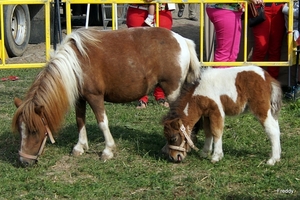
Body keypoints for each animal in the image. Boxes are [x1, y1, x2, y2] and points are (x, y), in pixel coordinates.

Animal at [11, 27, 200, 167]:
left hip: (172, 91)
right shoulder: (80, 99)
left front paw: (108, 150)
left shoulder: (94, 96)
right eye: (20, 130)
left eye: (34, 131)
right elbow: (80, 121)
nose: (23, 161)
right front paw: (80, 146)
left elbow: (102, 123)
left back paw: (169, 147)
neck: (75, 63)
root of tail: (182, 40)